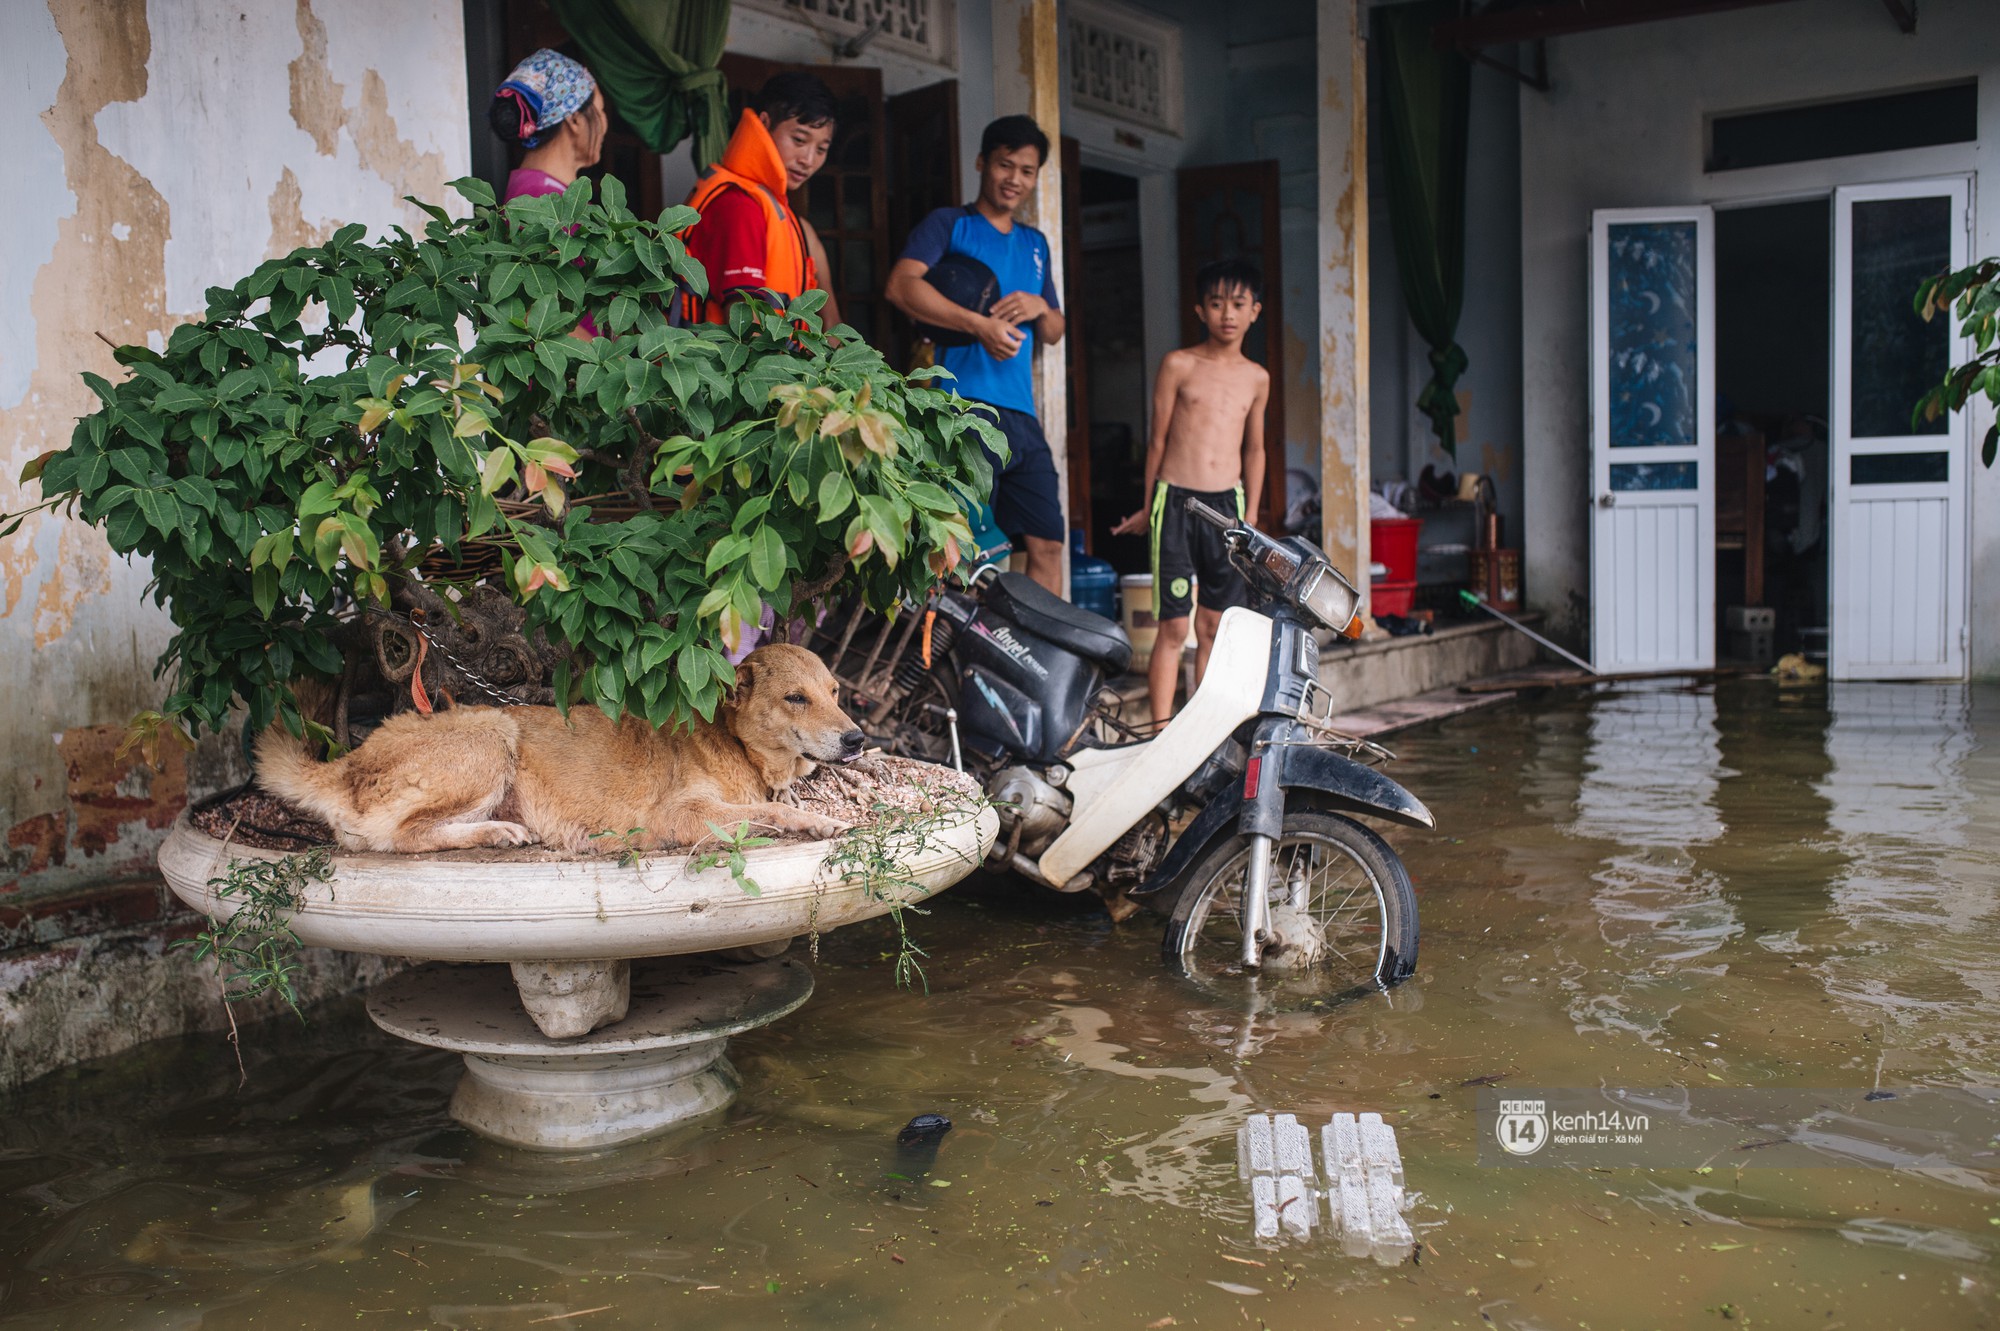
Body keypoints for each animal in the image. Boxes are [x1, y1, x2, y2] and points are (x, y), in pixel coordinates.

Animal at [252, 639, 868, 851]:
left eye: (835, 691)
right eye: (795, 698)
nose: (857, 738)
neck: (734, 743)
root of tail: (349, 762)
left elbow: (769, 807)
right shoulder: (678, 815)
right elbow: (766, 814)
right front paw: (818, 822)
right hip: (491, 735)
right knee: (401, 837)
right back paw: (495, 833)